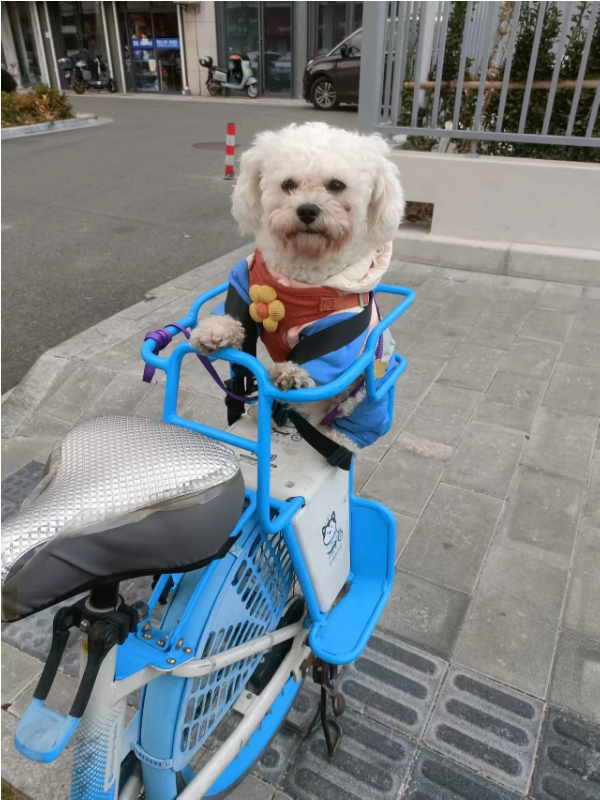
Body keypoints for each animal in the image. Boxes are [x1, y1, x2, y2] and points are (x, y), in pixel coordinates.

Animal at [191, 121, 405, 454]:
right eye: (288, 184)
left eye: (336, 185)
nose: (307, 210)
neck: (300, 277)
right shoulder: (244, 283)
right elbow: (234, 313)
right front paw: (214, 332)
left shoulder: (341, 329)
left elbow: (323, 354)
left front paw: (291, 373)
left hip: (371, 387)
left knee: (354, 428)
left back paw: (337, 442)